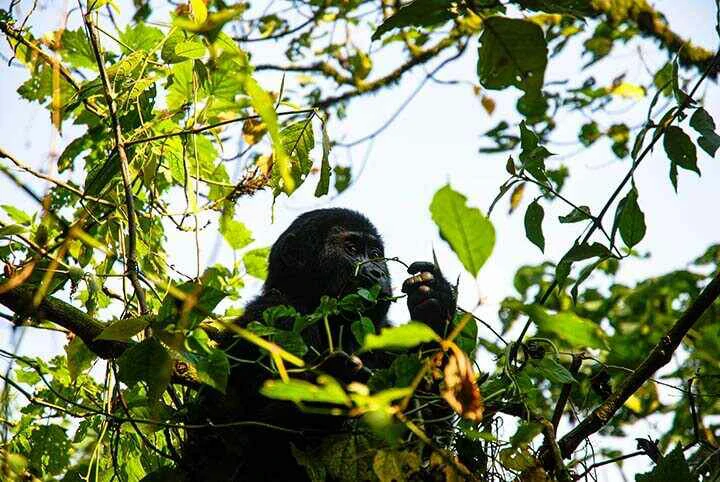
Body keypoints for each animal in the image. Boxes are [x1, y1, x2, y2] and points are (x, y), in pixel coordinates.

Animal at [183, 209, 458, 480]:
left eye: (376, 255)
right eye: (352, 249)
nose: (377, 272)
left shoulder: (383, 335)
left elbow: (430, 438)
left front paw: (435, 304)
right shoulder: (273, 318)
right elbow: (258, 437)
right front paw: (336, 379)